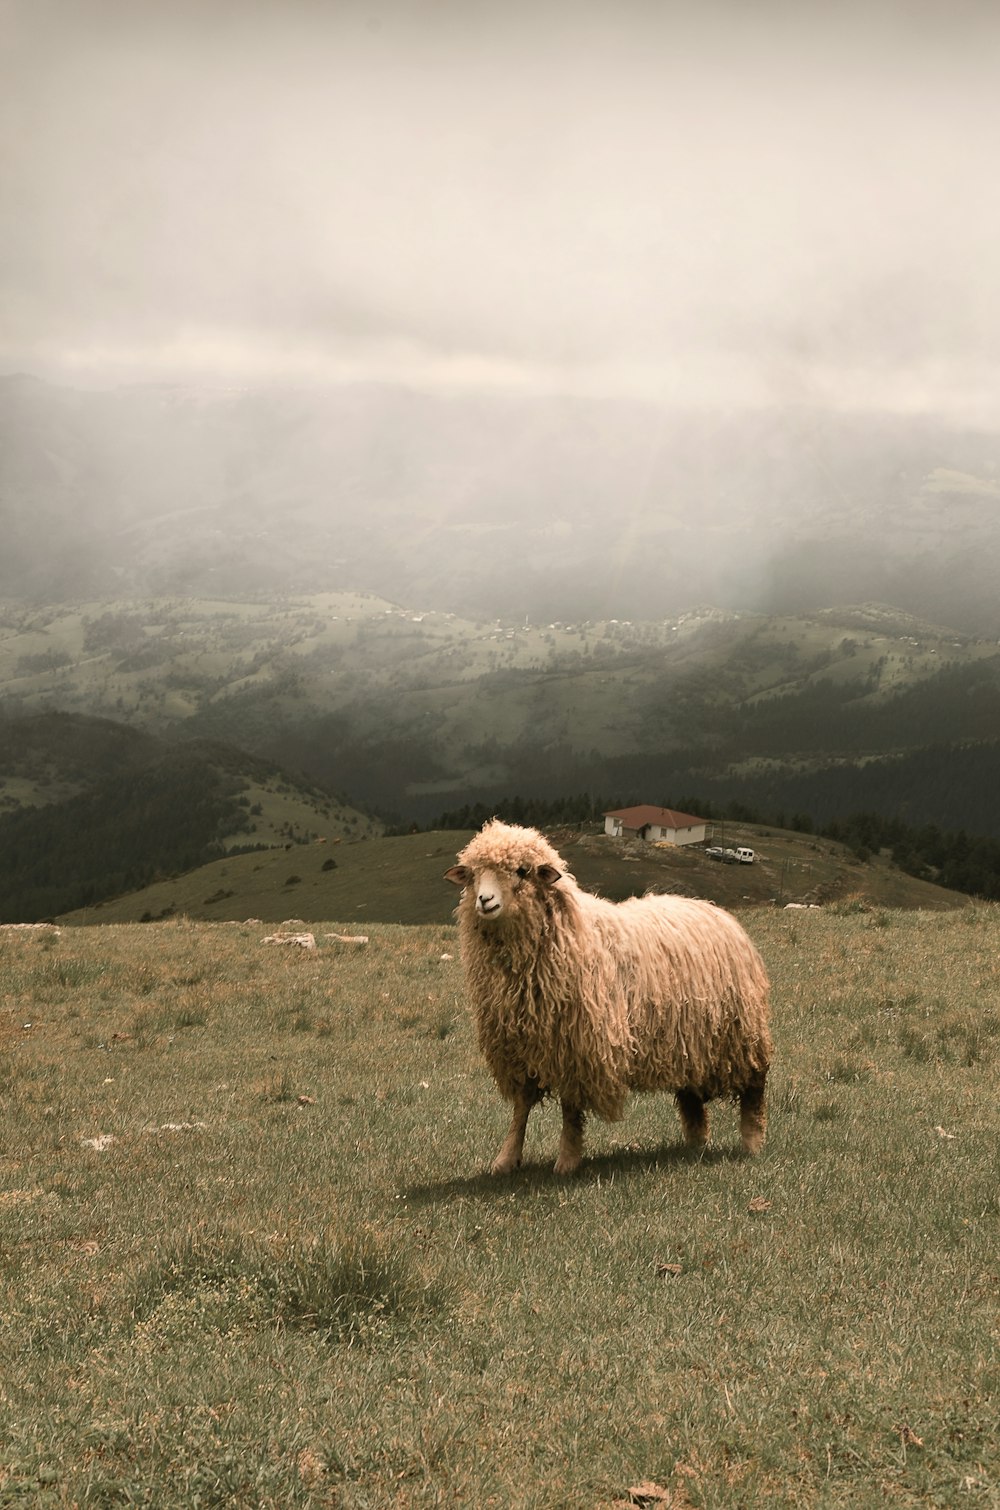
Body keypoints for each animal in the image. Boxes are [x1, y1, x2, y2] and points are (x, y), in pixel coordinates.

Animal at [447, 821, 773, 1171]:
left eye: (522, 871)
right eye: (473, 874)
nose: (485, 900)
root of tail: (716, 911)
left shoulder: (578, 1045)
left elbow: (570, 1107)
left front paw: (567, 1160)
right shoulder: (519, 1049)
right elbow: (520, 1109)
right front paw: (506, 1159)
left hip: (739, 1035)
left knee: (754, 1089)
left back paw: (752, 1143)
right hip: (688, 1040)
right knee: (690, 1096)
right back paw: (696, 1142)